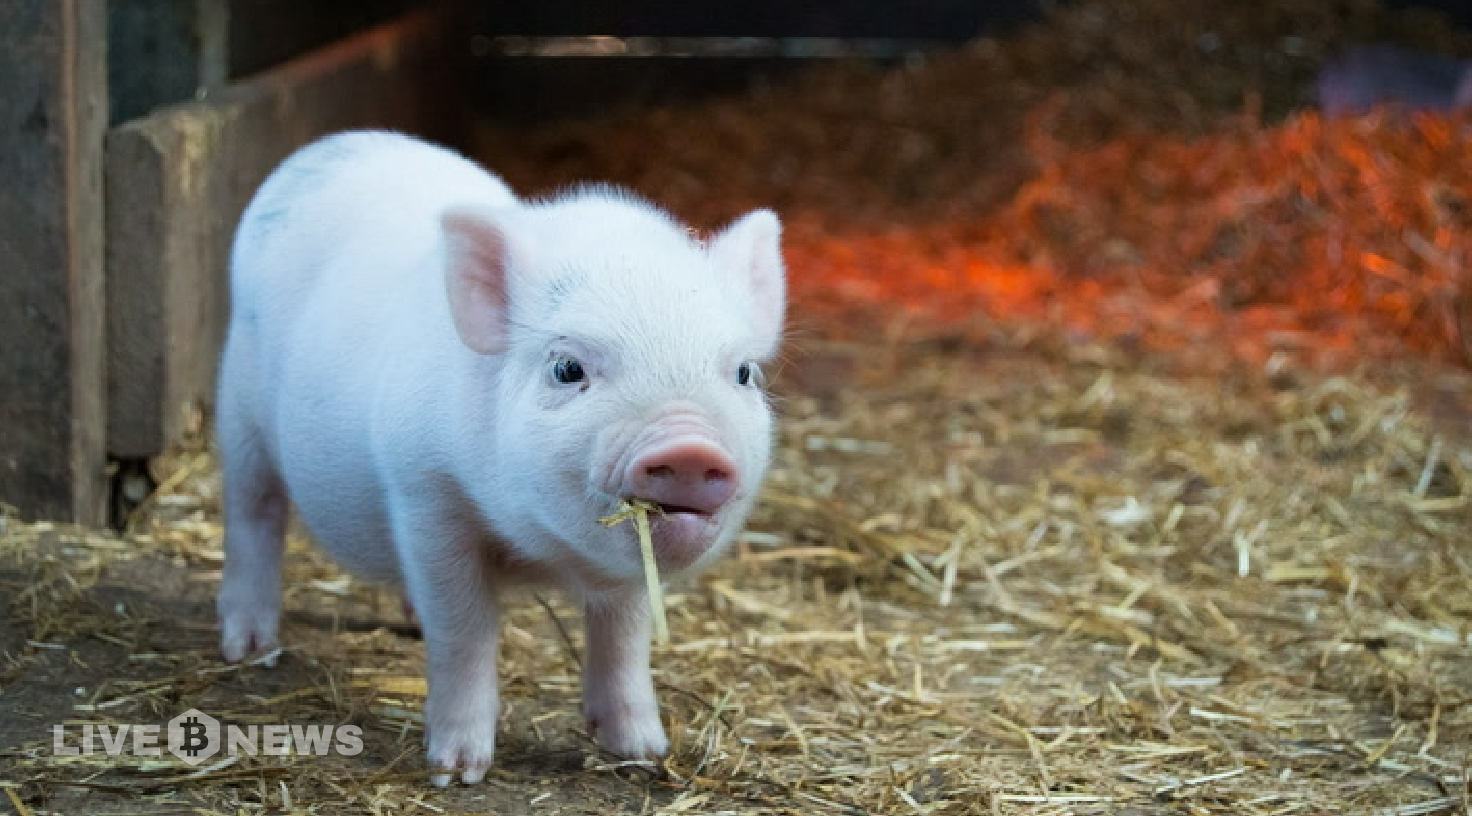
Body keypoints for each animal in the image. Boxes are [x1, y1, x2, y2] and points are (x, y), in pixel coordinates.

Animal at [214, 130, 785, 785]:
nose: (689, 446)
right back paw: (248, 648)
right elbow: (464, 629)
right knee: (253, 513)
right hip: (239, 410)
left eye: (744, 372)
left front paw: (643, 753)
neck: (540, 552)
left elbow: (624, 634)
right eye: (567, 368)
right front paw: (457, 772)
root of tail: (331, 145)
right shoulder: (424, 493)